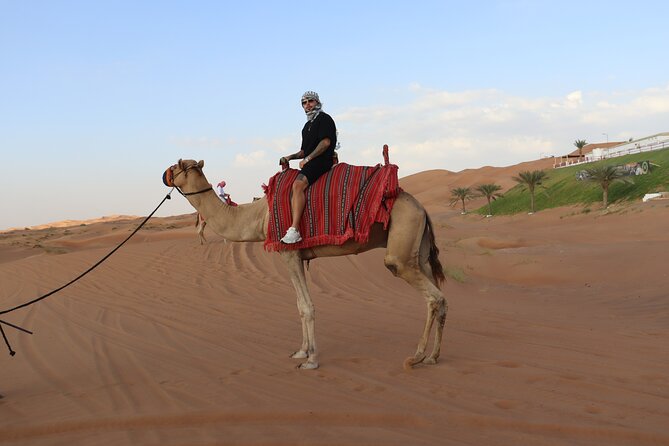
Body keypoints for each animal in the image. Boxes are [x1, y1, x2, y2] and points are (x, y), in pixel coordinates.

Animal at [163, 159, 447, 370]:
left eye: (176, 165)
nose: (164, 174)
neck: (259, 215)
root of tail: (422, 208)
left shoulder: (288, 253)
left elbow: (307, 306)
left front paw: (311, 360)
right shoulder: (297, 256)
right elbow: (300, 306)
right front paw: (301, 351)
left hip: (401, 247)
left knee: (429, 294)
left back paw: (416, 356)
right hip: (419, 252)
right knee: (441, 297)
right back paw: (433, 356)